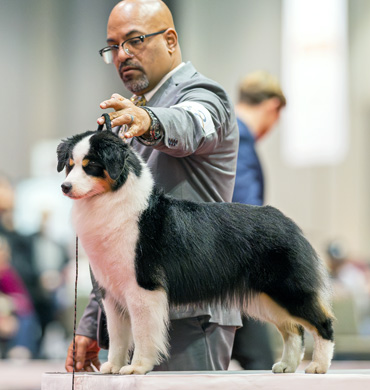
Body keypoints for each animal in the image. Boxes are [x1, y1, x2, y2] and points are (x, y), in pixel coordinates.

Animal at [57, 130, 336, 374]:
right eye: (70, 164)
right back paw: (287, 366)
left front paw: (137, 367)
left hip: (289, 289)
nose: (65, 186)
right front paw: (112, 367)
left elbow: (143, 333)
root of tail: (287, 221)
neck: (113, 201)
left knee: (322, 323)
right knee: (293, 329)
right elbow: (117, 336)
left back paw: (318, 366)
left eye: (91, 165)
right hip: (265, 297)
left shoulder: (143, 287)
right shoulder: (111, 293)